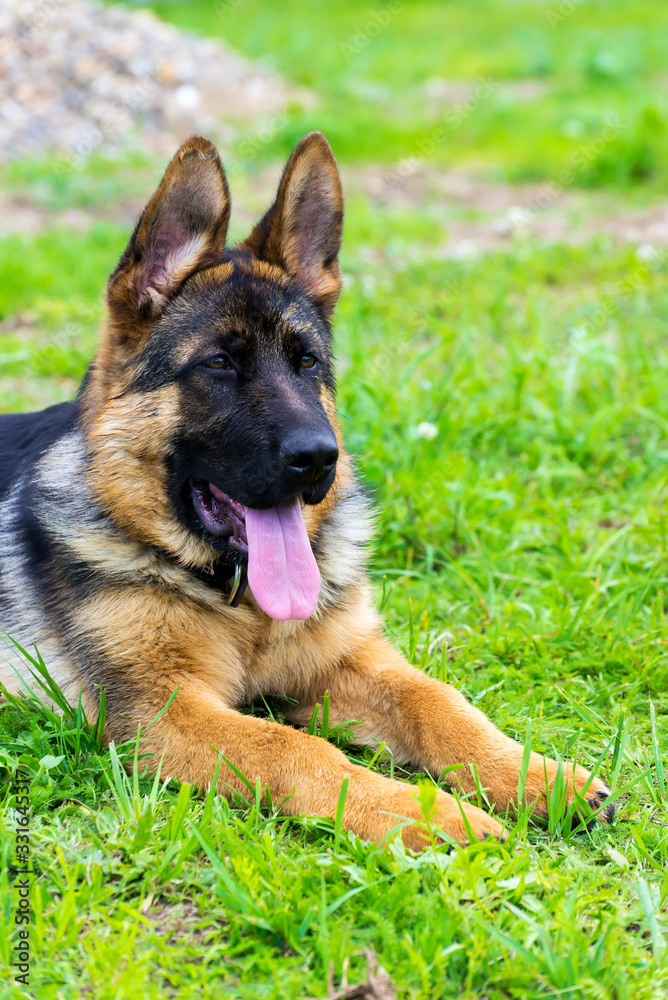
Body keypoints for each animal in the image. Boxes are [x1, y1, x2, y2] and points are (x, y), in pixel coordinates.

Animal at [1, 133, 616, 848]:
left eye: (307, 363)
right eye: (218, 363)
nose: (320, 458)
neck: (239, 602)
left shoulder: (347, 662)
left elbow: (436, 700)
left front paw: (535, 775)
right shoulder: (163, 711)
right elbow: (292, 746)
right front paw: (429, 815)